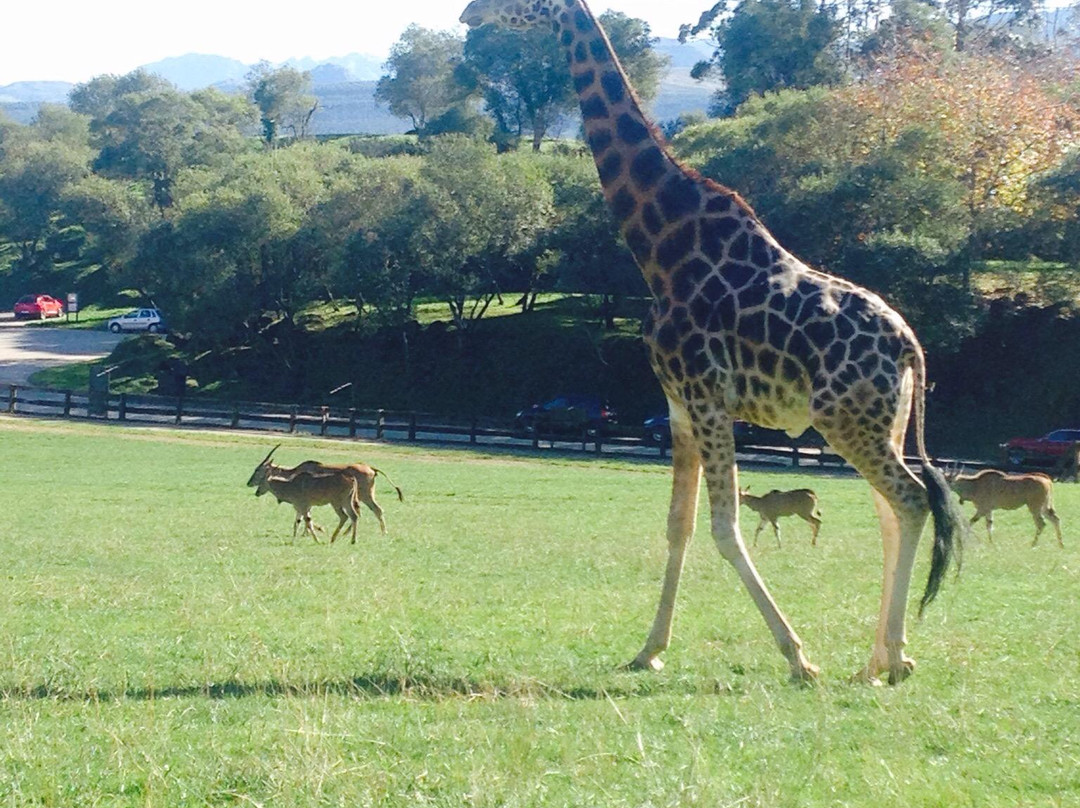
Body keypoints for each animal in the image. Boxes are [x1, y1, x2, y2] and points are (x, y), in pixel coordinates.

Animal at [247, 445, 403, 533]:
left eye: (257, 470)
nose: (249, 483)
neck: (295, 472)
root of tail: (371, 468)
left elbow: (307, 515)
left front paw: (309, 532)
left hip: (365, 495)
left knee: (374, 510)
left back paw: (381, 532)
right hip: (362, 496)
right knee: (370, 511)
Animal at [460, 0, 967, 687]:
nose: (467, 15)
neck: (659, 245)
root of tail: (911, 345)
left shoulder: (707, 399)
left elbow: (726, 528)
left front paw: (798, 657)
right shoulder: (677, 406)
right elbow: (679, 526)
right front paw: (648, 650)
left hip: (848, 422)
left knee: (911, 501)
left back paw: (887, 659)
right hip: (879, 422)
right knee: (892, 511)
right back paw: (884, 657)